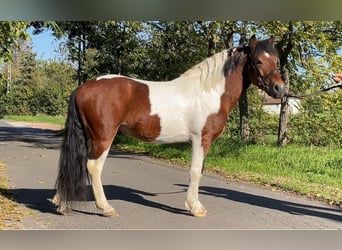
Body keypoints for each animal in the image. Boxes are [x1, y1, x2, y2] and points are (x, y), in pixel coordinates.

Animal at [52, 34, 284, 217]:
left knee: (75, 164)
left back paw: (61, 203)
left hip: (89, 136)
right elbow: (195, 171)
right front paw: (195, 207)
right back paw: (105, 208)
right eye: (258, 61)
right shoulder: (201, 139)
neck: (210, 91)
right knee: (93, 166)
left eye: (276, 60)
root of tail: (84, 87)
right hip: (103, 137)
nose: (279, 88)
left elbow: (199, 170)